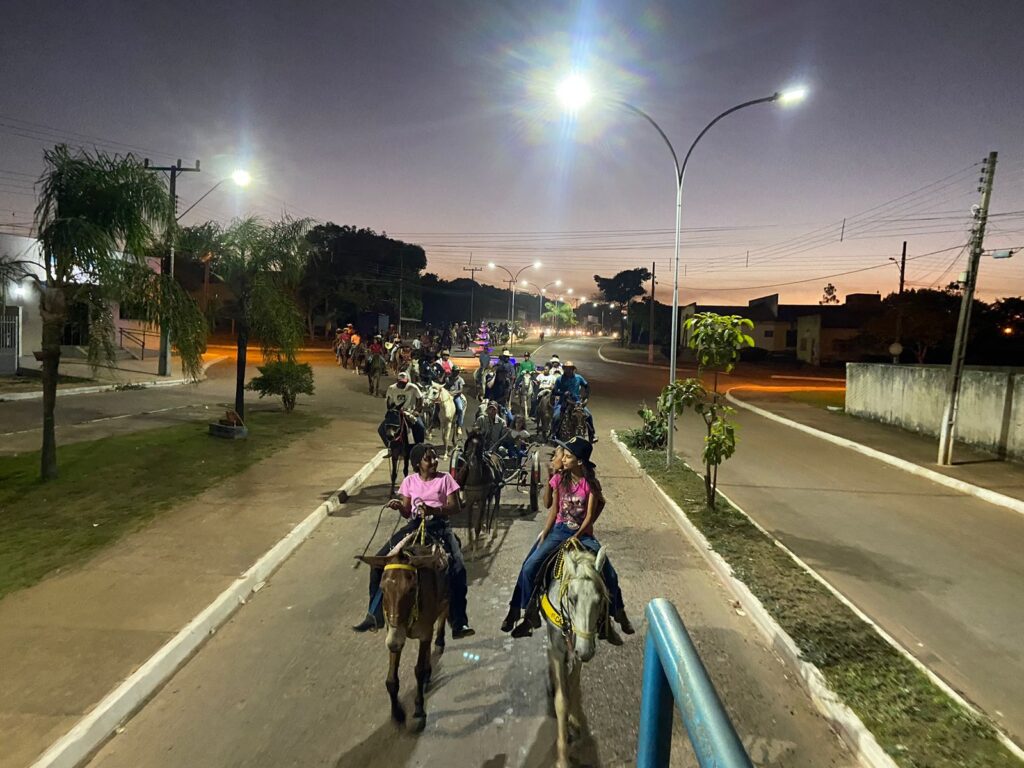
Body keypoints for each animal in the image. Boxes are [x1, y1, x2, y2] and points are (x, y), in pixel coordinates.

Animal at [357, 534, 449, 732]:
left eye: (412, 588)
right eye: (382, 588)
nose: (394, 642)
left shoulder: (423, 633)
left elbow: (418, 671)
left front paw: (419, 710)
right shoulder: (394, 634)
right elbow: (391, 680)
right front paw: (397, 713)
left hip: (446, 600)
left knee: (443, 616)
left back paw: (440, 642)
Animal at [543, 544, 610, 768]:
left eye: (600, 600)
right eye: (572, 599)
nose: (586, 651)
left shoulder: (579, 651)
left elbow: (572, 684)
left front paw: (574, 719)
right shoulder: (558, 648)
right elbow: (561, 701)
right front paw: (563, 758)